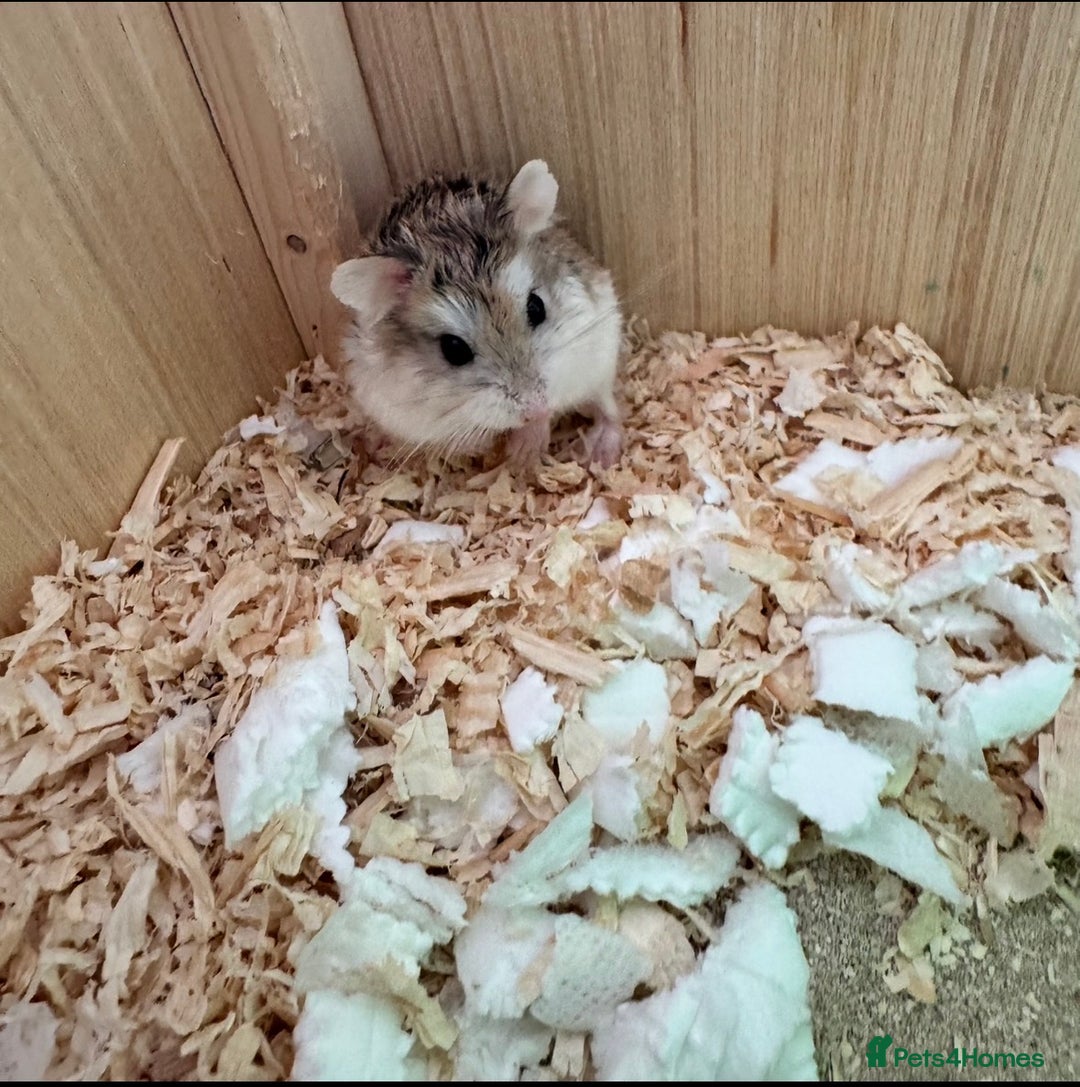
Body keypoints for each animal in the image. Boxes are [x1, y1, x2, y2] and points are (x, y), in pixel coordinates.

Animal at [330, 160, 623, 469]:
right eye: (454, 349)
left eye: (536, 307)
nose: (536, 407)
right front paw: (511, 453)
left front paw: (523, 453)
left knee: (607, 407)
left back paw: (601, 454)